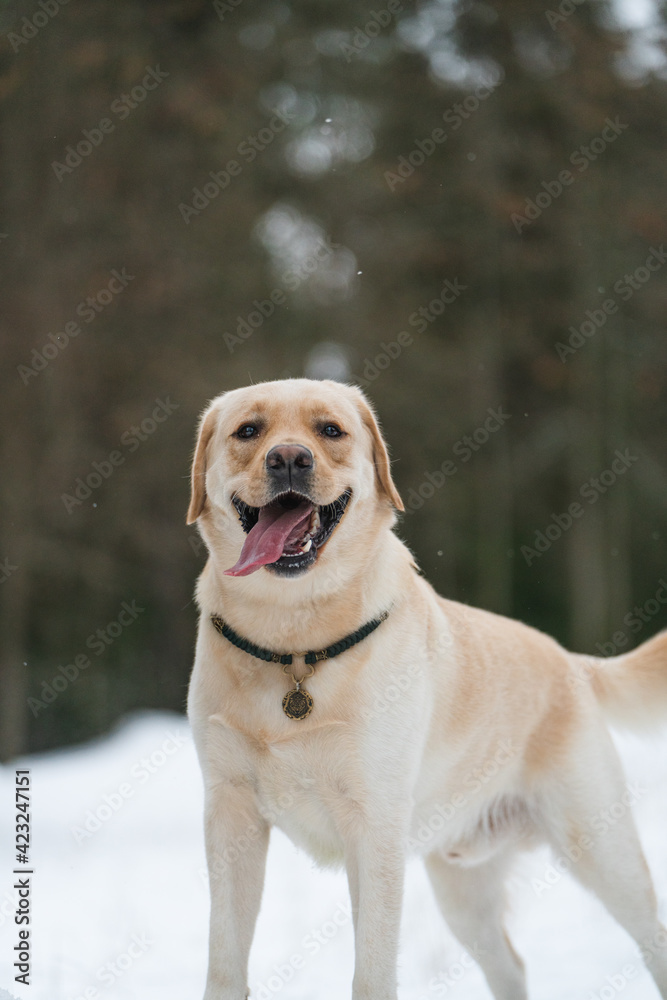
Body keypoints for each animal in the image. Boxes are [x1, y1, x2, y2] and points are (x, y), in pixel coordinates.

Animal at [187, 378, 667, 996]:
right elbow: (225, 960)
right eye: (248, 430)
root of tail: (570, 660)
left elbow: (371, 973)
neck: (294, 642)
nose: (289, 458)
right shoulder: (230, 813)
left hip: (601, 847)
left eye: (329, 430)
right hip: (463, 887)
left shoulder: (375, 826)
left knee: (652, 936)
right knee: (511, 966)